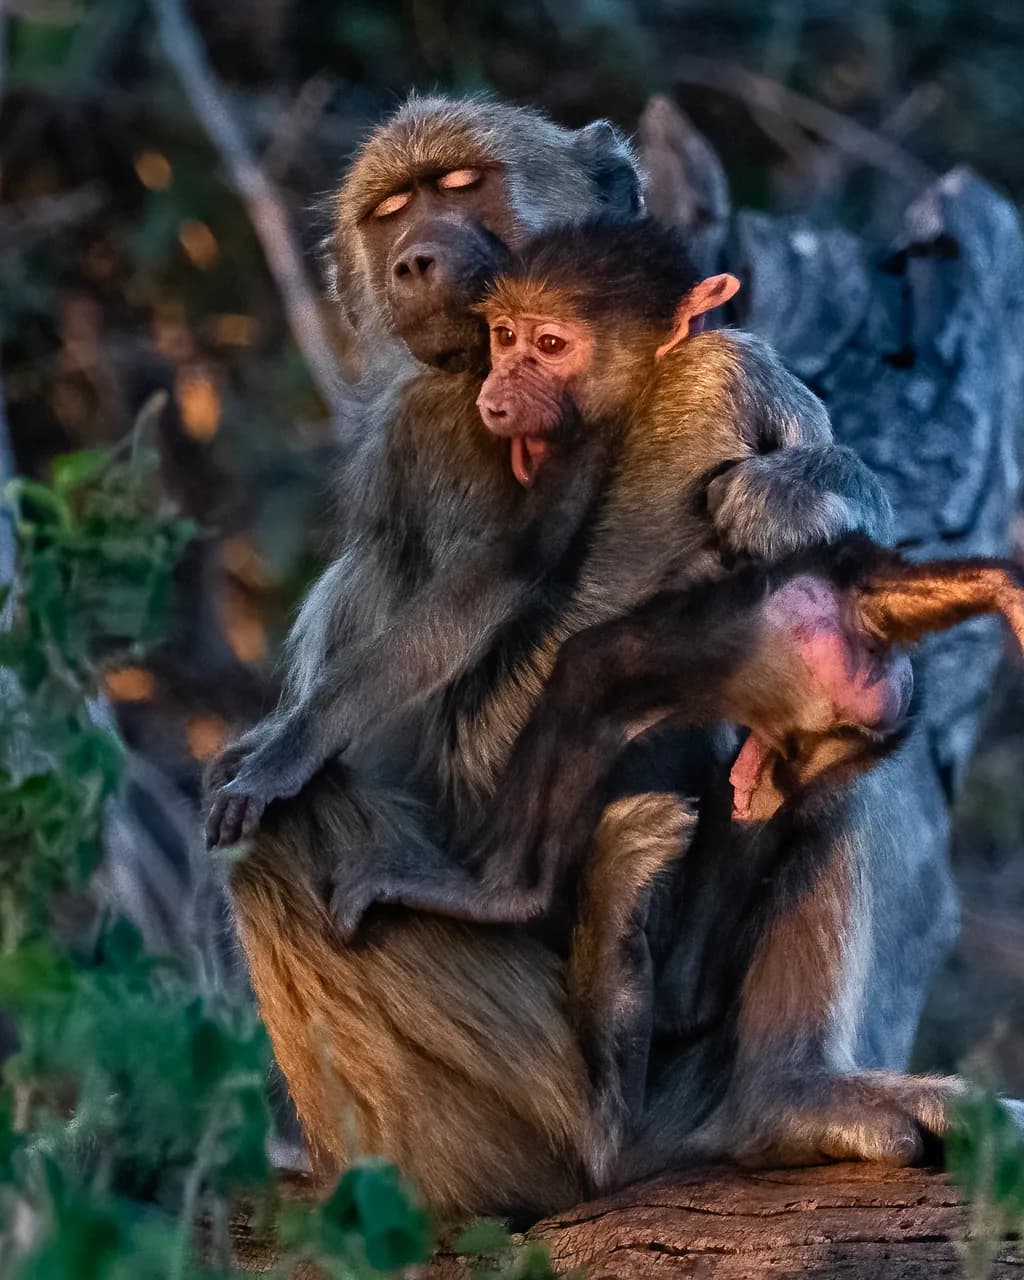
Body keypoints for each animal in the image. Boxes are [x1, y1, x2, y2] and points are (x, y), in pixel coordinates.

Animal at [216, 96, 962, 1219]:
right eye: (390, 211)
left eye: (460, 185)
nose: (417, 258)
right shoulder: (452, 431)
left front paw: (797, 492)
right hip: (479, 1129)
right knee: (280, 832)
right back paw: (598, 1099)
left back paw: (785, 1097)